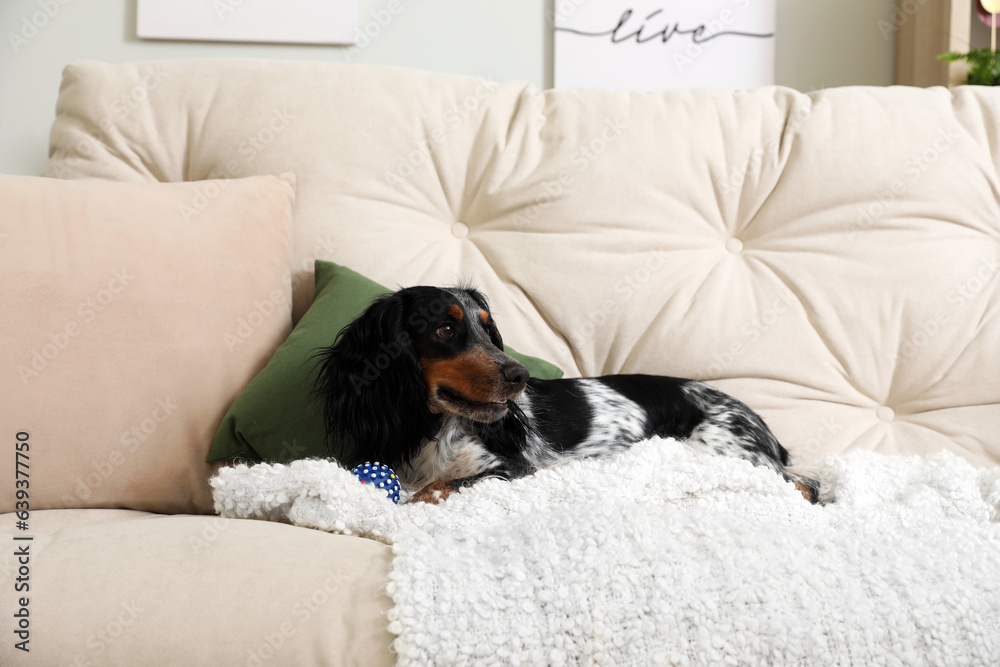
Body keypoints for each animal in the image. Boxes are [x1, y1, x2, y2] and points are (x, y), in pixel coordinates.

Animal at [314, 284, 820, 504]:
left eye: (488, 329)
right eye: (445, 329)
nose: (518, 375)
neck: (434, 429)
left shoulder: (512, 468)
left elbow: (439, 486)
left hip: (728, 452)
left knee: (807, 485)